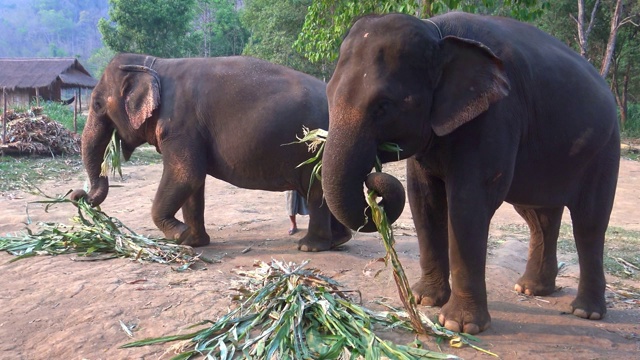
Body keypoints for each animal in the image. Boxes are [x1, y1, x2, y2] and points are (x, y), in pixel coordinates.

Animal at [72, 53, 352, 252]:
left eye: (97, 104)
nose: (79, 194)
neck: (153, 64)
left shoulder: (180, 125)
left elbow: (187, 174)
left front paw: (179, 235)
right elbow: (194, 183)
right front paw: (194, 241)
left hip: (318, 146)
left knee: (316, 189)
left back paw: (310, 246)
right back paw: (338, 240)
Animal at [324, 13, 620, 334]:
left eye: (383, 106)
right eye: (327, 94)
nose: (372, 184)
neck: (437, 32)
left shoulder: (496, 115)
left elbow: (468, 203)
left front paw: (458, 325)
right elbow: (423, 200)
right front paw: (424, 299)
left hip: (605, 149)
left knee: (589, 222)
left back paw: (586, 311)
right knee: (539, 216)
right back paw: (530, 289)